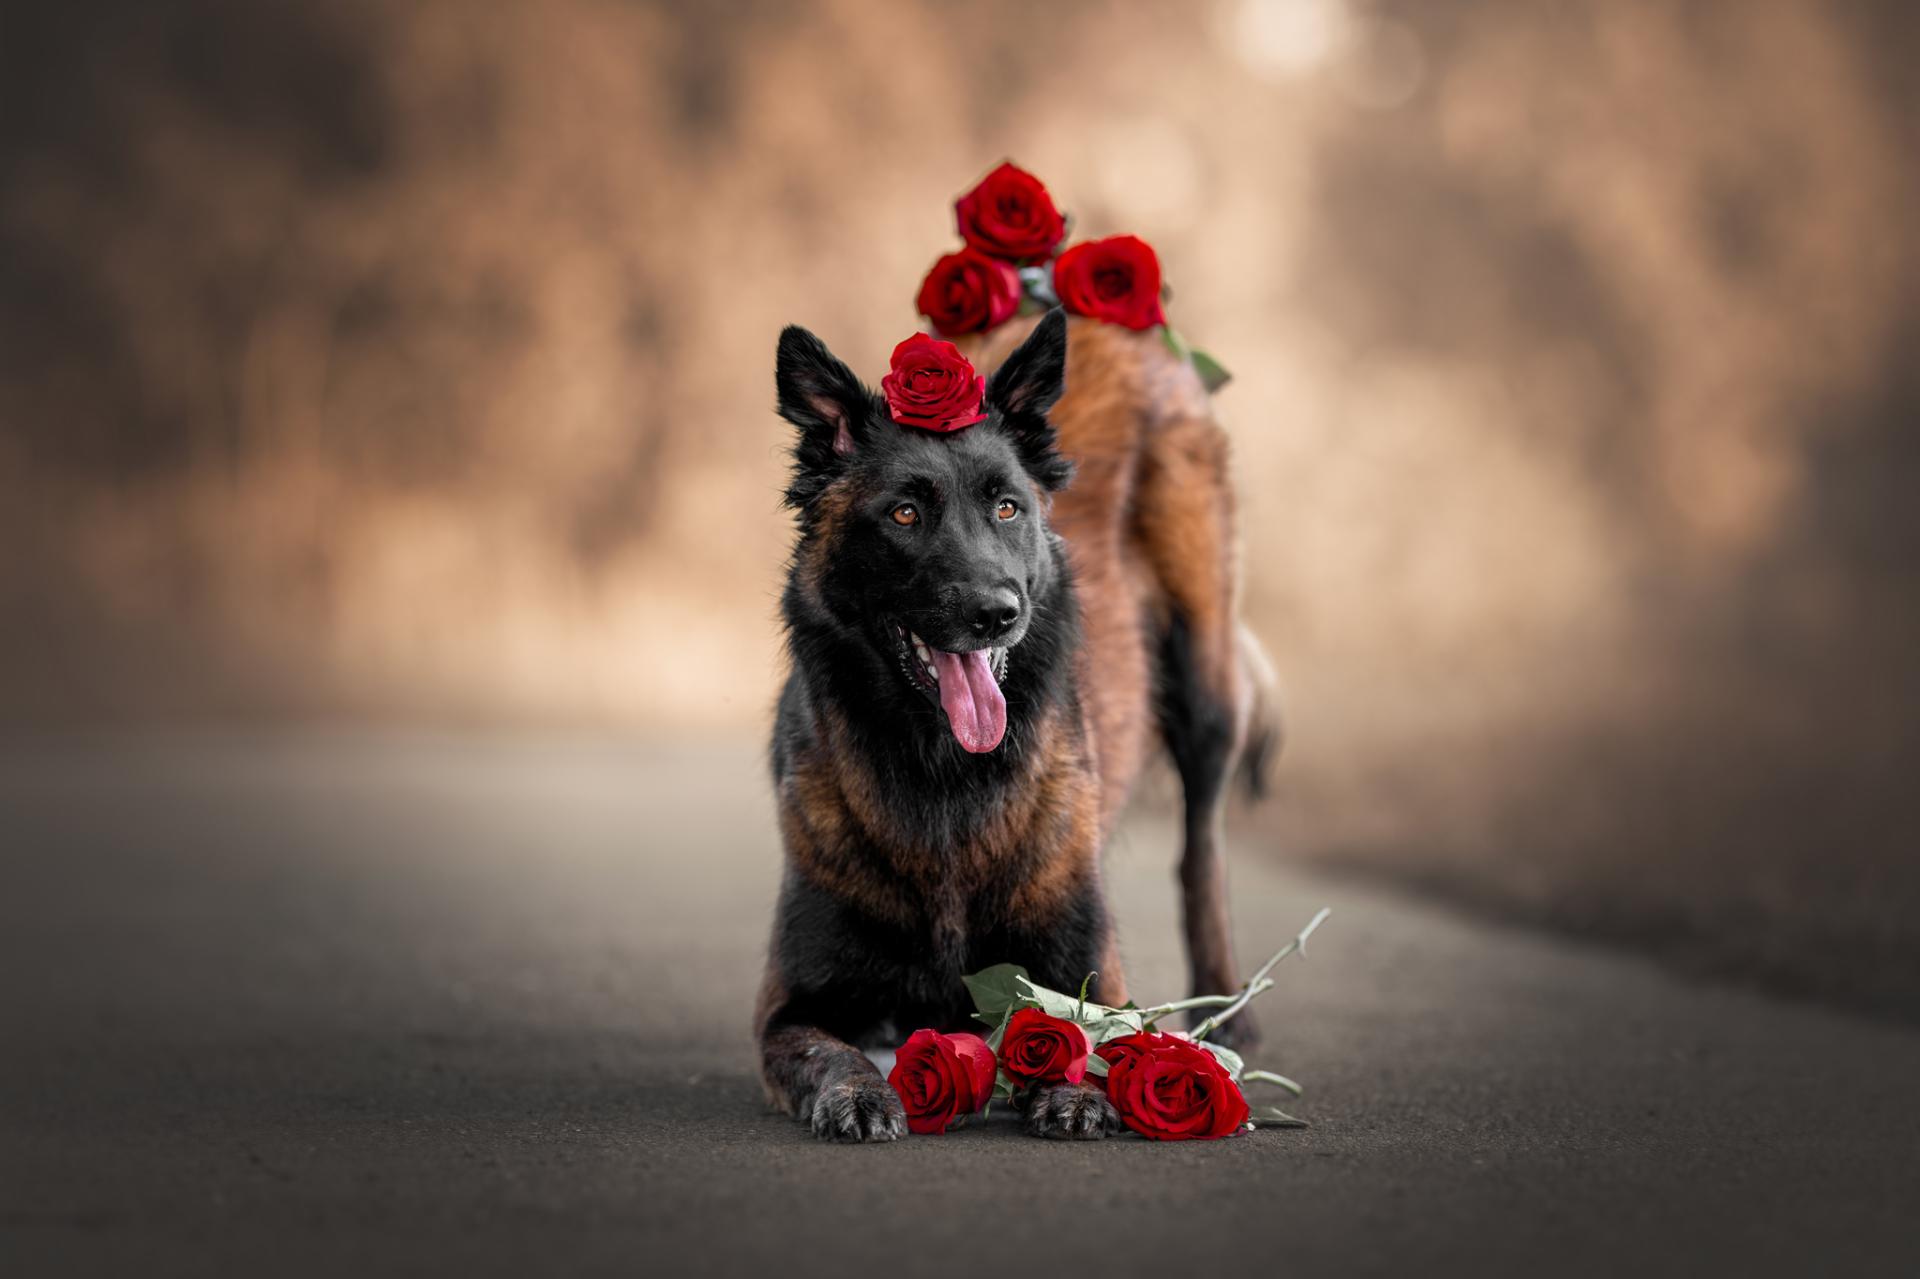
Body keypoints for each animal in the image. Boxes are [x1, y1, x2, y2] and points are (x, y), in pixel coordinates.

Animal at [752, 307, 1274, 1136]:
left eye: (1007, 507)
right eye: (904, 512)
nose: (997, 611)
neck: (943, 777)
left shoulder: (1089, 982)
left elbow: (1086, 1038)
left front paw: (1075, 1088)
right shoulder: (788, 1008)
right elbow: (827, 1049)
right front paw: (860, 1089)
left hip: (1206, 683)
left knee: (1203, 851)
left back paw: (1227, 1009)